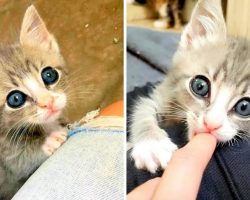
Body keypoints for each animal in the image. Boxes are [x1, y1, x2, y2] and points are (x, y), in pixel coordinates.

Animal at [0, 5, 68, 199]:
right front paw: (48, 141)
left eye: (49, 75)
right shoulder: (5, 164)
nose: (48, 102)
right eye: (15, 99)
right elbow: (17, 162)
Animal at [130, 0, 250, 173]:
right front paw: (152, 145)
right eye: (200, 86)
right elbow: (142, 108)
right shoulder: (163, 92)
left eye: (244, 107)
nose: (211, 124)